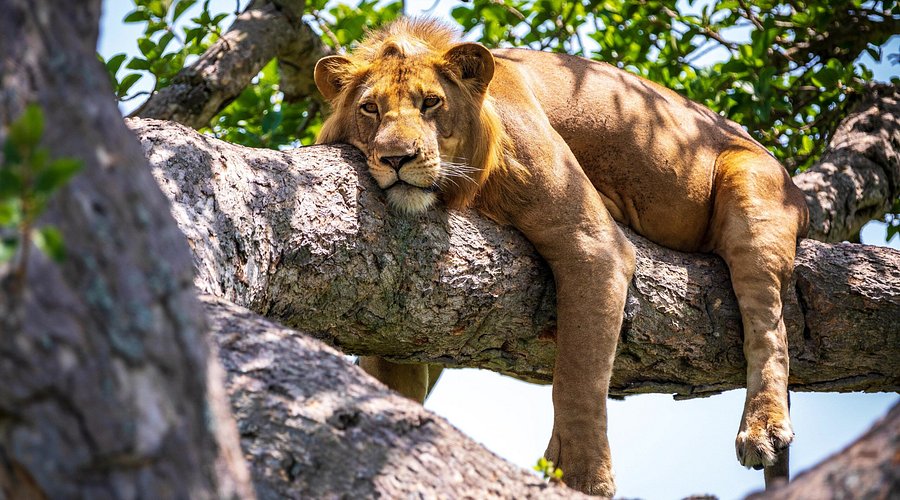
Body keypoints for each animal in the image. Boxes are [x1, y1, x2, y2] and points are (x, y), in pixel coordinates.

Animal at [314, 18, 808, 496]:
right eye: (370, 109)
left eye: (431, 102)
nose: (396, 158)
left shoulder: (594, 245)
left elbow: (577, 379)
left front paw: (586, 480)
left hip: (752, 195)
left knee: (770, 328)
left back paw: (762, 428)